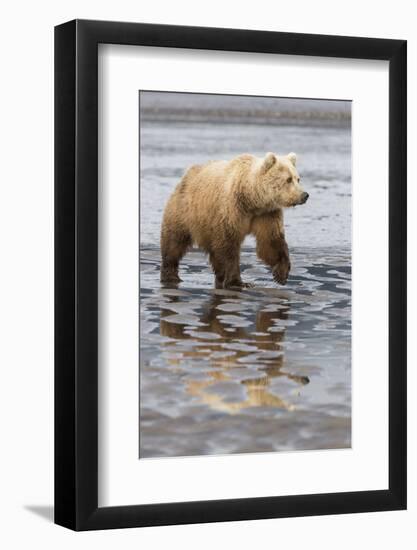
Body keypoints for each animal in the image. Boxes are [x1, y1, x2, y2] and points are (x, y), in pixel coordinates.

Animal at [161, 151, 308, 288]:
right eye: (288, 179)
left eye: (298, 179)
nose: (304, 195)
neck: (251, 200)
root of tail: (187, 174)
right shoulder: (231, 209)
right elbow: (228, 245)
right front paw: (237, 282)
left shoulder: (266, 214)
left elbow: (270, 241)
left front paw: (281, 274)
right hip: (185, 211)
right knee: (174, 241)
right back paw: (171, 275)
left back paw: (219, 278)